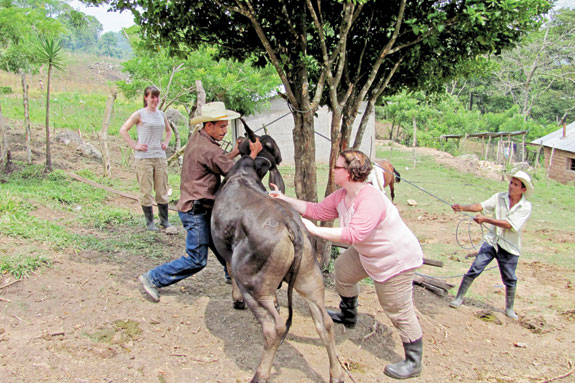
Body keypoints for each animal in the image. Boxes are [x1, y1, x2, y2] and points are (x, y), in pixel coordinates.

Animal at [213, 124, 344, 382]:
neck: (243, 172)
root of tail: (291, 224)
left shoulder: (227, 253)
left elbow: (229, 270)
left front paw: (235, 300)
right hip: (310, 278)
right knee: (325, 322)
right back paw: (336, 373)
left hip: (253, 285)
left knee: (274, 328)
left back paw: (260, 373)